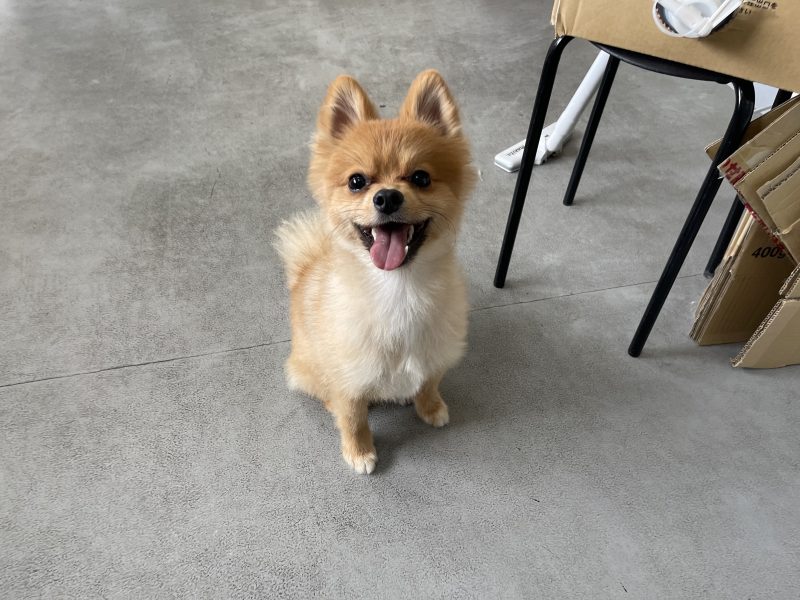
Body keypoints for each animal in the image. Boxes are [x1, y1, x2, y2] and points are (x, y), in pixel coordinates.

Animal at [275, 70, 475, 474]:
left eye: (421, 178)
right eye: (357, 181)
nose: (386, 197)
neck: (398, 288)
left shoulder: (437, 351)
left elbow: (430, 381)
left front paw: (430, 407)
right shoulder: (349, 377)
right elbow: (353, 417)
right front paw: (359, 452)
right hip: (307, 369)